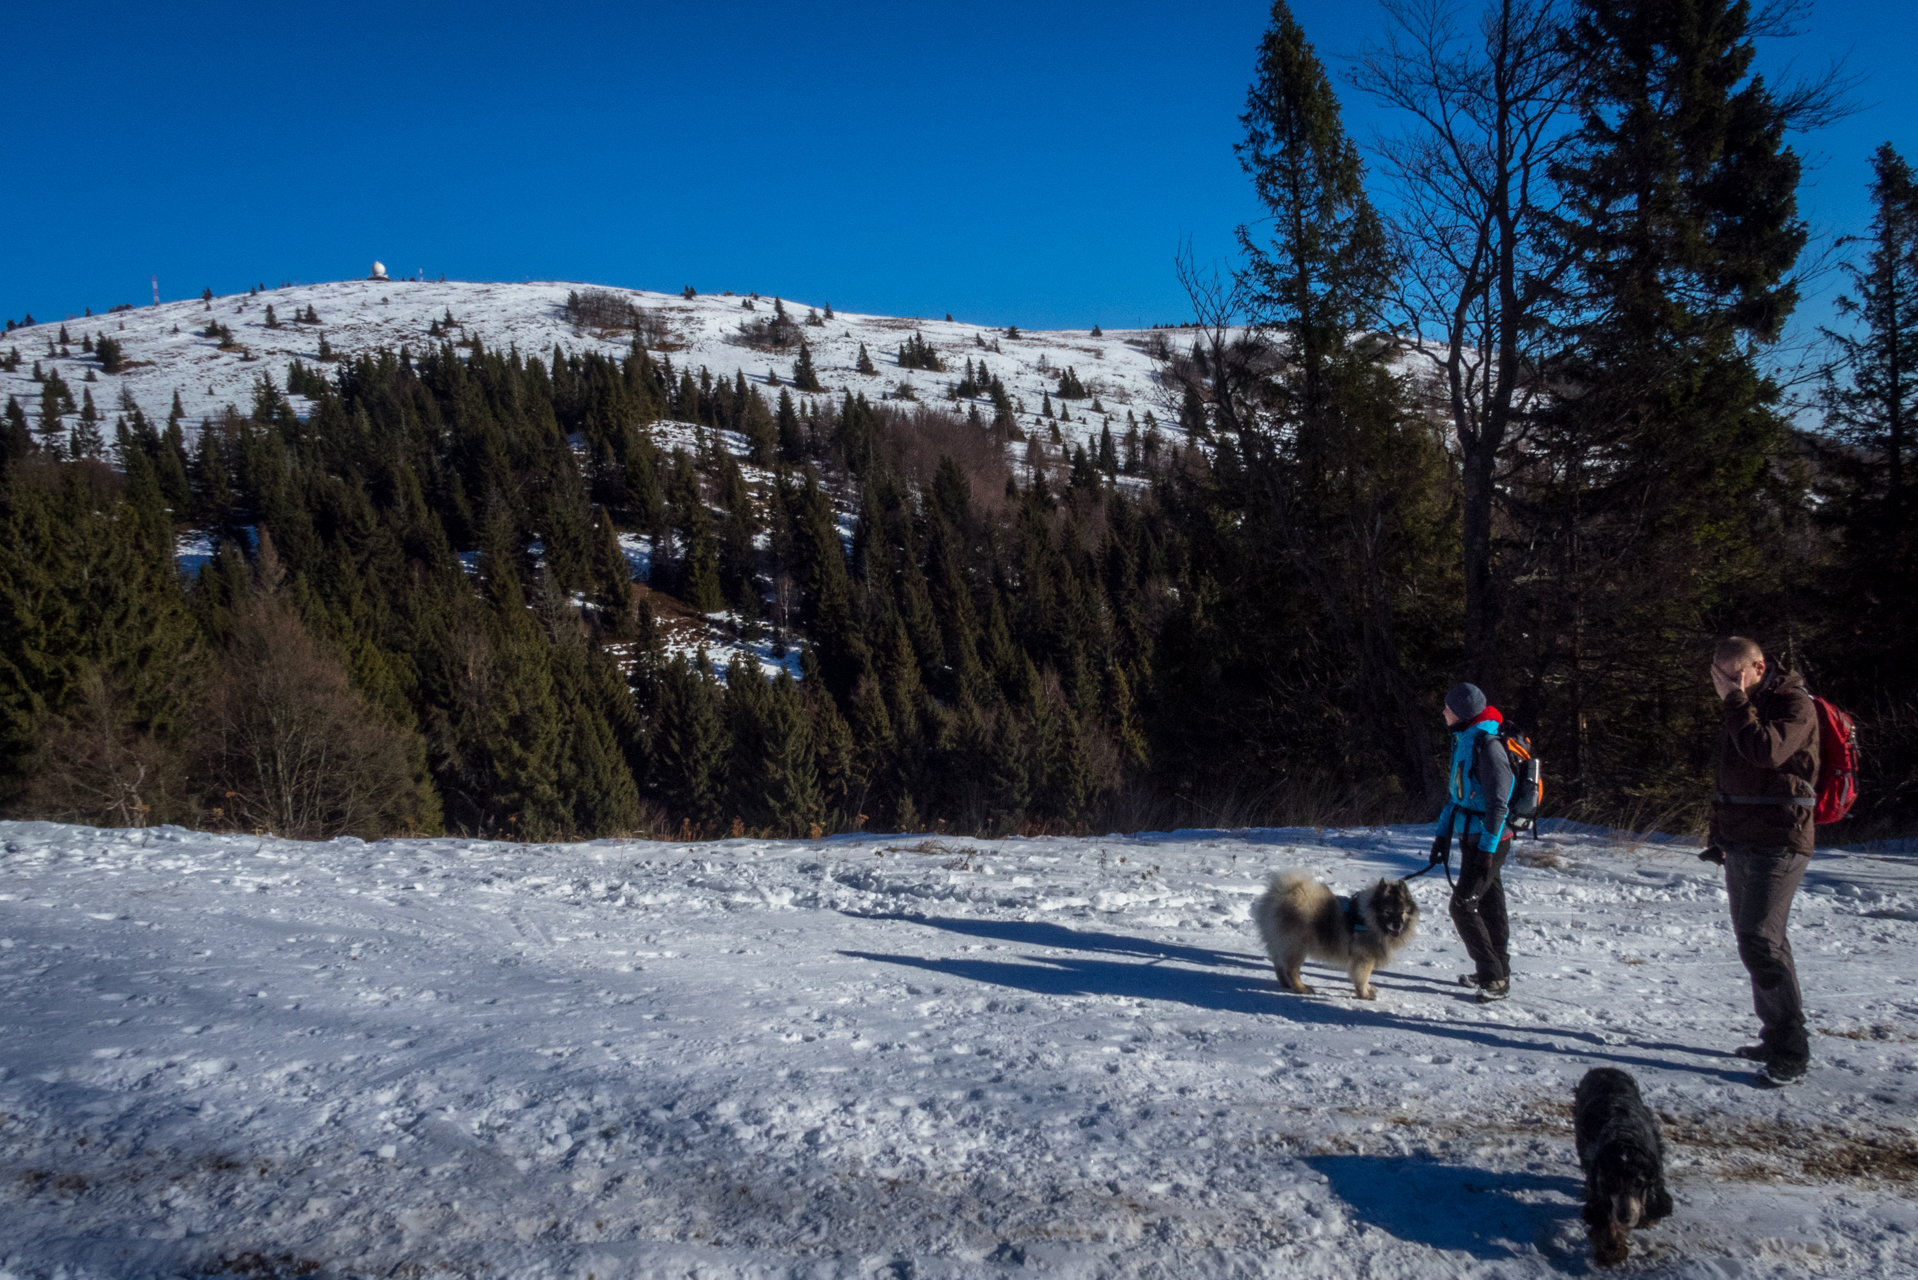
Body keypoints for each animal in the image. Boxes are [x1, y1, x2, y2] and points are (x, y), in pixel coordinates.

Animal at [1250, 871, 1419, 997]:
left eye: (1402, 911)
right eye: (1387, 911)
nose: (1397, 925)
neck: (1369, 919)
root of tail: (1278, 896)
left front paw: (1368, 989)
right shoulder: (1364, 959)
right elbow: (1362, 978)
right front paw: (1364, 994)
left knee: (1279, 965)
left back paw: (1285, 984)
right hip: (1296, 947)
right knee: (1291, 970)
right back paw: (1301, 988)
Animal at [1580, 1066, 1672, 1266]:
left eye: (1638, 1183)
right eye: (1612, 1182)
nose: (1625, 1217)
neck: (1624, 1140)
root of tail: (1603, 1069)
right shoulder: (1597, 1178)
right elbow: (1604, 1217)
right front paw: (1611, 1249)